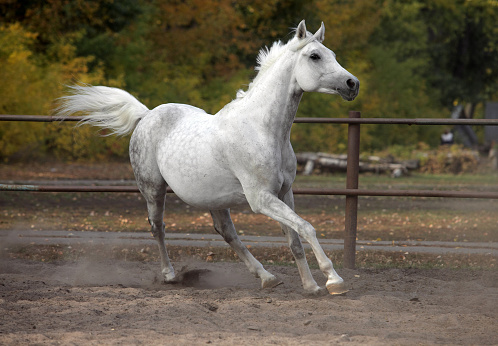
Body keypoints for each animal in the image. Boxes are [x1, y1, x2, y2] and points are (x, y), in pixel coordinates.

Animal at [57, 20, 358, 294]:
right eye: (314, 56)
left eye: (332, 54)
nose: (352, 84)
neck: (263, 130)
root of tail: (146, 114)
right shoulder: (261, 199)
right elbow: (307, 227)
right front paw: (334, 281)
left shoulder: (285, 192)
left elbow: (294, 239)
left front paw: (311, 286)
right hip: (153, 190)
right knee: (158, 228)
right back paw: (170, 275)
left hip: (215, 198)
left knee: (226, 232)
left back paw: (267, 278)